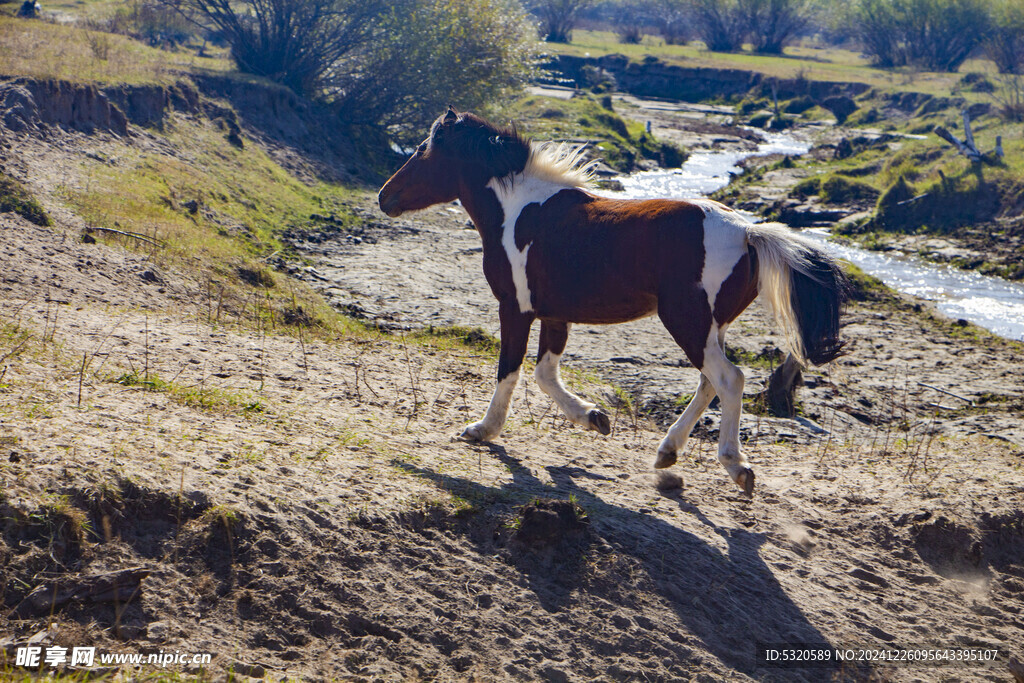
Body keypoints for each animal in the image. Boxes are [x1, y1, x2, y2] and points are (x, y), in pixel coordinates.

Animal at [376, 107, 847, 497]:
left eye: (422, 149)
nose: (384, 197)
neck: (518, 212)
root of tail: (749, 233)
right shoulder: (555, 314)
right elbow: (545, 373)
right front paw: (594, 418)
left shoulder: (516, 307)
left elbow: (509, 368)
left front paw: (482, 430)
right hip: (711, 325)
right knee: (708, 382)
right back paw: (667, 452)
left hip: (687, 320)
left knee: (729, 379)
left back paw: (736, 467)